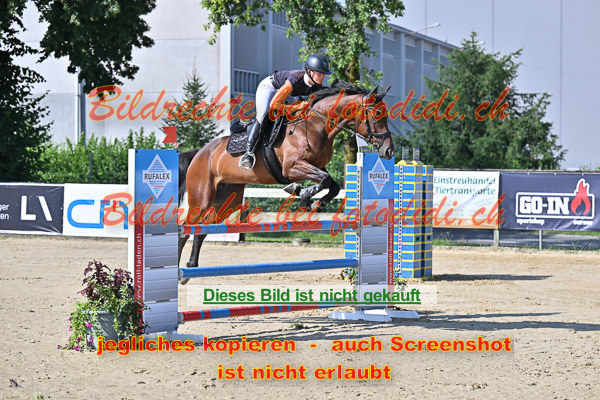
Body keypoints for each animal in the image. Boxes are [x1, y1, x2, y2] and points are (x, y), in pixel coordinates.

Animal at [178, 81, 395, 269]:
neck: (317, 124)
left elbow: (331, 185)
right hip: (202, 198)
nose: (389, 151)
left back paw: (191, 266)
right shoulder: (292, 167)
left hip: (226, 200)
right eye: (377, 114)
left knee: (201, 230)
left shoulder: (316, 165)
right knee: (186, 229)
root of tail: (200, 153)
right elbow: (324, 180)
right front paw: (302, 194)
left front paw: (314, 202)